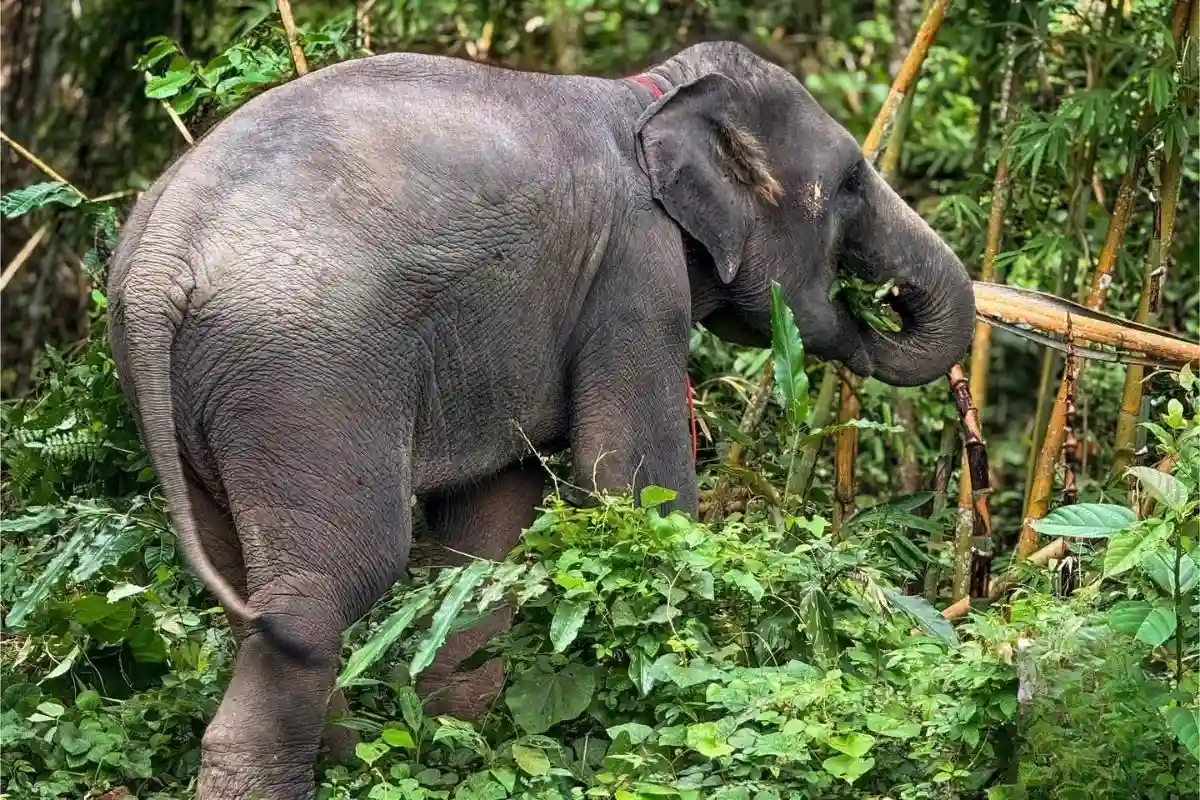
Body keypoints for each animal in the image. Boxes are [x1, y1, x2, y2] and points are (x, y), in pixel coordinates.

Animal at [106, 39, 975, 799]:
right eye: (853, 182)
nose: (883, 299)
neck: (650, 94)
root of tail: (158, 265)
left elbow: (491, 527)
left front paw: (461, 741)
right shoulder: (635, 267)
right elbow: (629, 479)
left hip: (200, 400)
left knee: (249, 589)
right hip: (304, 375)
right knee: (333, 580)